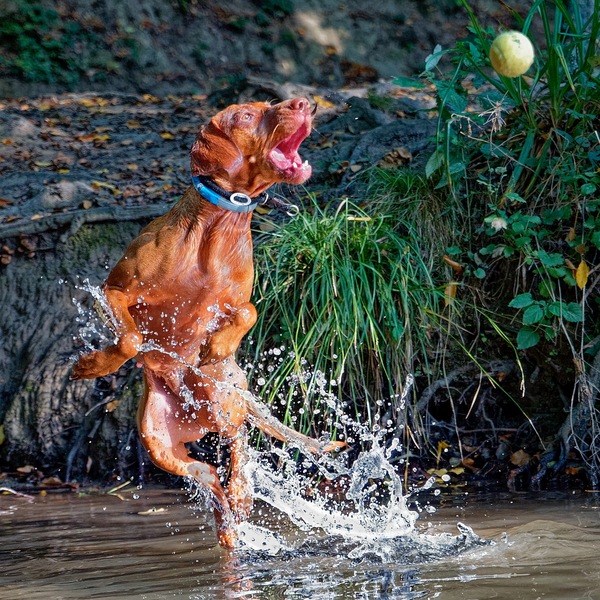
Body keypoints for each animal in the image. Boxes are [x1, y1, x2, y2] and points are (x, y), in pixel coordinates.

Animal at [71, 97, 342, 548]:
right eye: (247, 115)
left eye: (271, 104)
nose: (305, 102)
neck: (220, 225)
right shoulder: (113, 291)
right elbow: (130, 340)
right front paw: (90, 365)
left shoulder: (239, 301)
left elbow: (248, 312)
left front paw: (216, 346)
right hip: (158, 443)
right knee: (211, 477)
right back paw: (229, 520)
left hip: (225, 403)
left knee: (237, 449)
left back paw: (241, 492)